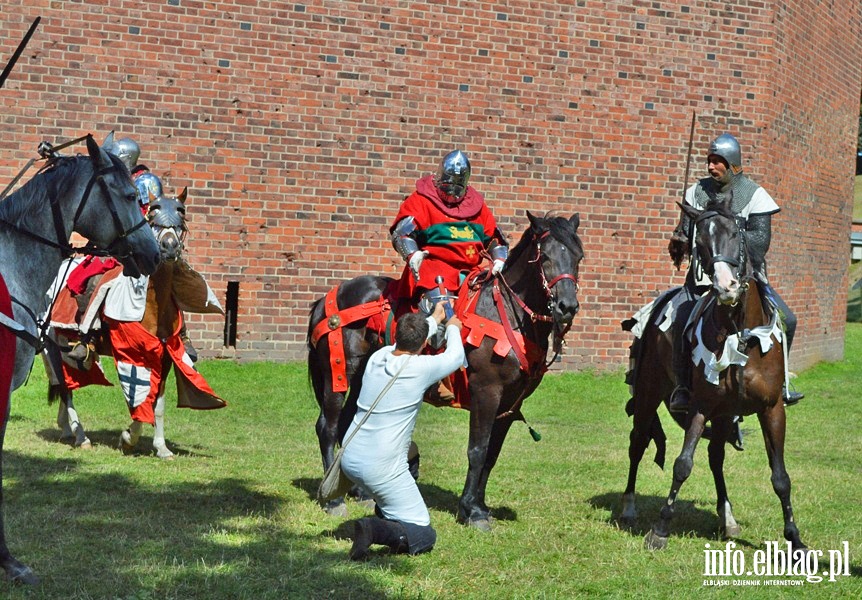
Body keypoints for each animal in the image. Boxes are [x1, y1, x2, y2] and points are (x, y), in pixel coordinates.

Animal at [45, 191, 224, 460]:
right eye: (153, 214)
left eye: (181, 216)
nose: (169, 247)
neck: (153, 306)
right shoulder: (133, 356)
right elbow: (138, 401)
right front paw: (128, 438)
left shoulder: (166, 356)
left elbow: (158, 405)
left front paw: (161, 447)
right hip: (54, 345)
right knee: (66, 387)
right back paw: (80, 435)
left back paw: (66, 428)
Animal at [308, 212, 584, 528]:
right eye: (545, 257)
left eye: (578, 257)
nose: (567, 306)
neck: (506, 315)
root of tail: (330, 297)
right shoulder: (486, 393)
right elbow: (477, 451)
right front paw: (471, 511)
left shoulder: (511, 404)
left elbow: (492, 455)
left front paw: (479, 504)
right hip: (339, 373)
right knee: (328, 427)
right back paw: (333, 500)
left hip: (363, 377)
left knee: (349, 424)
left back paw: (359, 491)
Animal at [624, 196, 808, 552]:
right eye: (700, 243)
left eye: (736, 234)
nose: (726, 288)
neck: (742, 333)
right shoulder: (701, 406)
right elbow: (682, 465)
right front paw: (661, 529)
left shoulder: (771, 409)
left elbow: (781, 477)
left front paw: (794, 539)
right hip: (650, 392)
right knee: (638, 441)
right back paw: (628, 506)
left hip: (725, 414)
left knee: (715, 456)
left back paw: (728, 517)